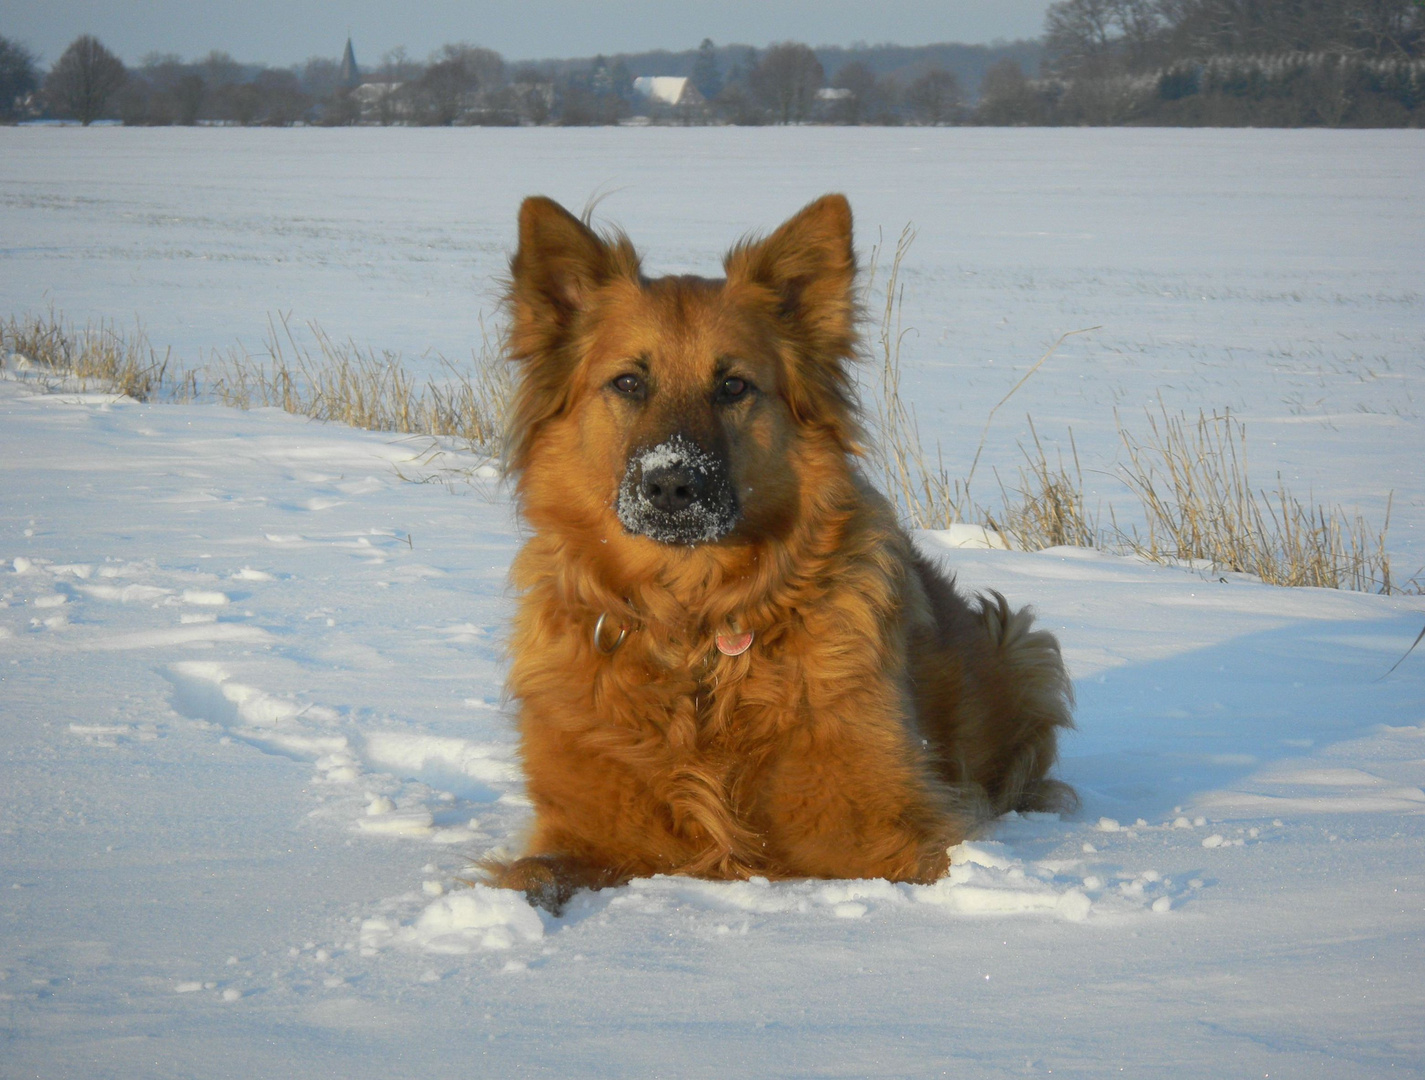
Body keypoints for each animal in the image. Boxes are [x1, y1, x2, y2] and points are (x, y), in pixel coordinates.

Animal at [484, 195, 1071, 911]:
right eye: (627, 383)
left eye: (734, 386)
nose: (672, 484)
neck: (694, 628)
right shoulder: (589, 834)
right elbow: (529, 875)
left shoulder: (887, 838)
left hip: (1024, 644)